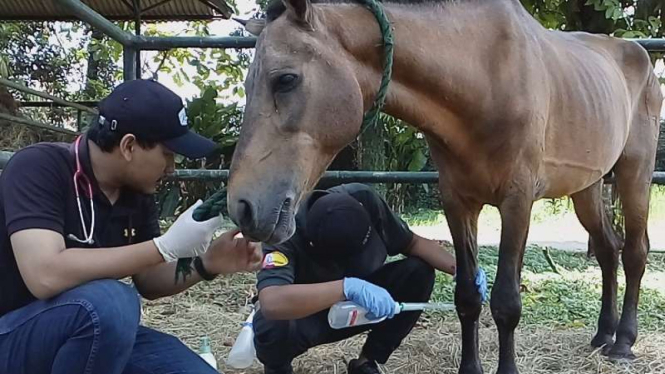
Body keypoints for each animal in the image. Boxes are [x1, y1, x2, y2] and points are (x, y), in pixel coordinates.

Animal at [227, 0, 660, 372]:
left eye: (285, 79)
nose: (242, 205)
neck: (485, 75)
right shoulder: (457, 201)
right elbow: (467, 296)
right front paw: (470, 367)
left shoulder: (517, 202)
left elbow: (506, 303)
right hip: (586, 187)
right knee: (607, 249)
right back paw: (603, 334)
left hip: (634, 174)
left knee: (634, 253)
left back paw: (623, 342)